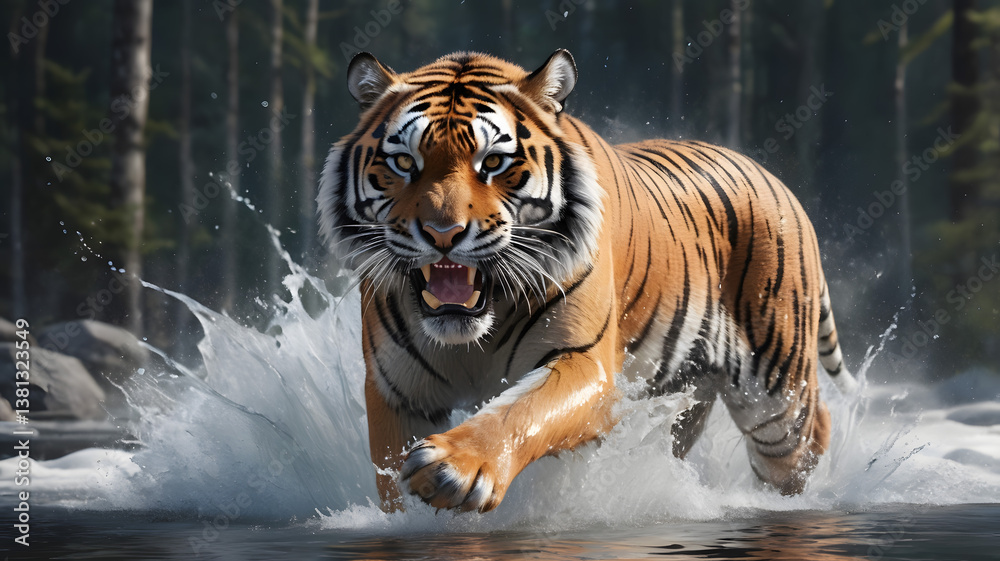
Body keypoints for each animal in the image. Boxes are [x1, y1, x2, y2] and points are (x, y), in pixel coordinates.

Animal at [317, 49, 856, 513]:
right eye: (404, 162)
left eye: (493, 163)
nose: (443, 233)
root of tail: (769, 175)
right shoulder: (398, 388)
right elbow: (390, 475)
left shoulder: (584, 362)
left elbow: (522, 410)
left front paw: (454, 468)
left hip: (774, 388)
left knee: (805, 434)